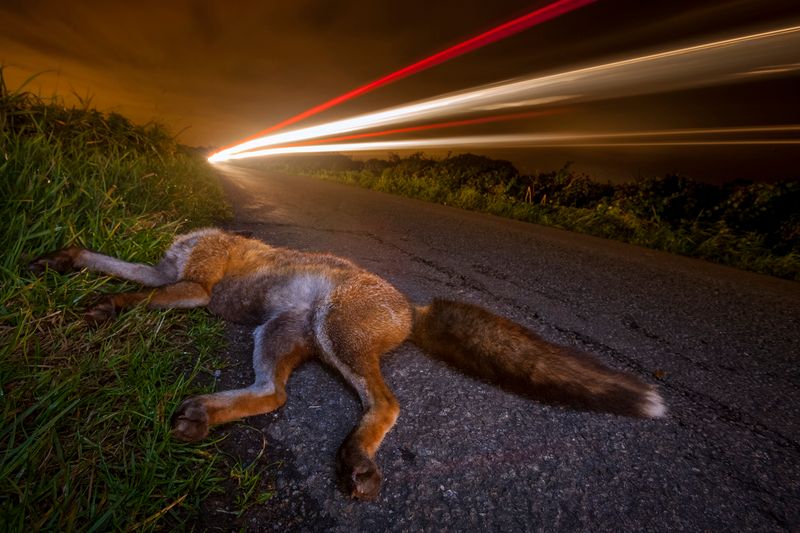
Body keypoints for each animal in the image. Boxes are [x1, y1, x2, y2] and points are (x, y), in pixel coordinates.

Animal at [29, 227, 666, 500]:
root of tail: (412, 308)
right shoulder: (167, 275)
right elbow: (109, 264)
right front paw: (65, 260)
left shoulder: (193, 289)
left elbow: (135, 295)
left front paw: (104, 307)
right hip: (281, 335)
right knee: (275, 396)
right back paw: (205, 415)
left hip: (335, 334)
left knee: (385, 403)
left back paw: (357, 458)